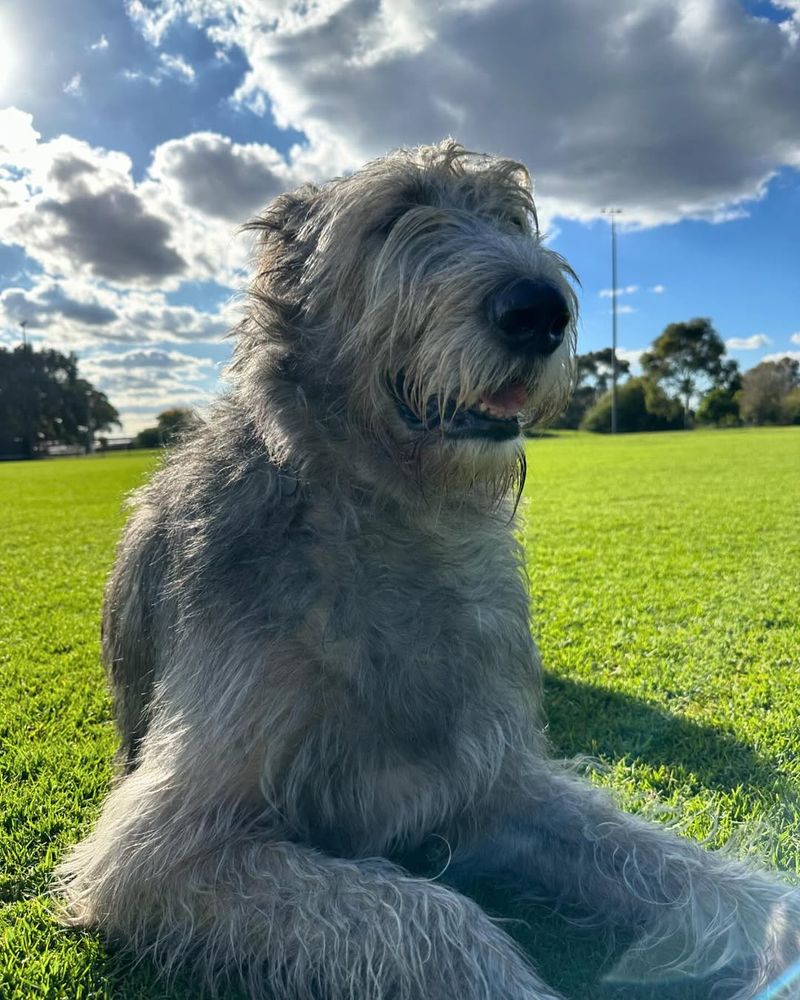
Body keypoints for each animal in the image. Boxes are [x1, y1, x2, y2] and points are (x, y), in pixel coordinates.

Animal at [57, 141, 800, 1000]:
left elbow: (652, 854)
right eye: (395, 215)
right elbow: (429, 913)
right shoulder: (167, 848)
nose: (540, 308)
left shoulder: (495, 780)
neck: (393, 519)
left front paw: (773, 920)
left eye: (512, 217)